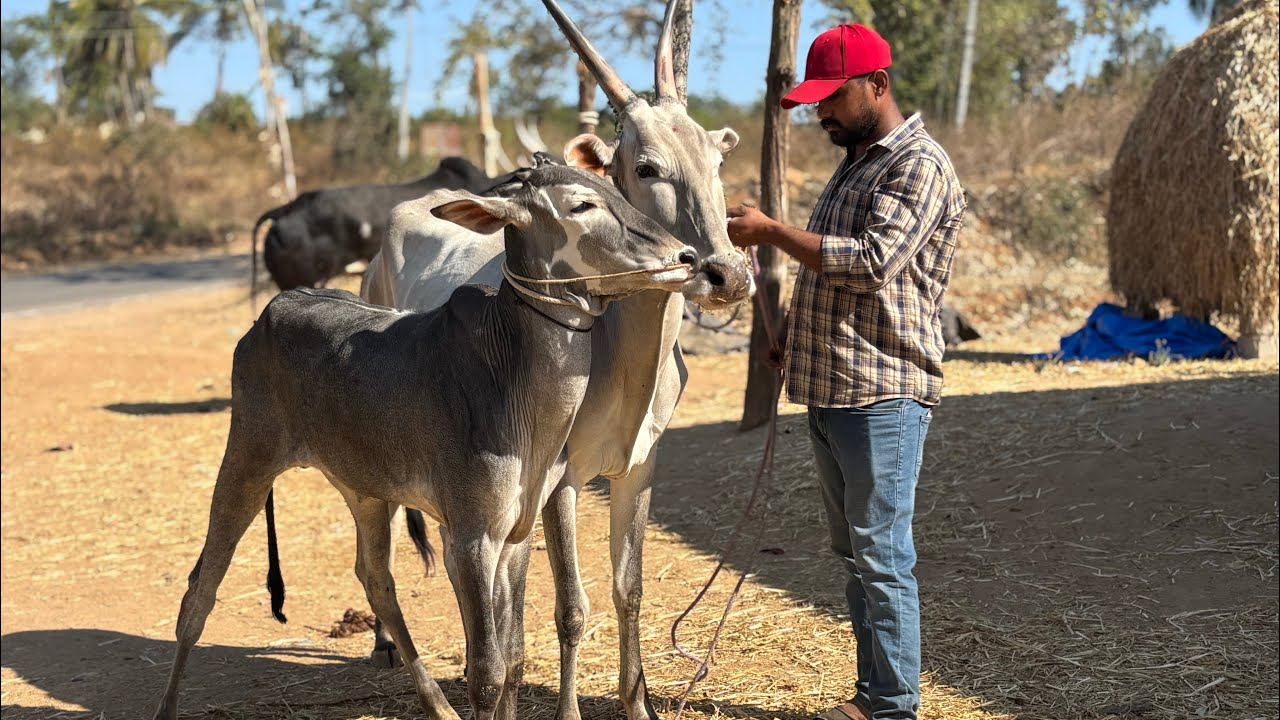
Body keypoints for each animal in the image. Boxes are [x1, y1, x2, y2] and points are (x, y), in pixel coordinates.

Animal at [152, 164, 710, 720]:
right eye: (581, 205)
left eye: (618, 190)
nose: (687, 258)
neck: (512, 371)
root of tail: (276, 306)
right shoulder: (472, 535)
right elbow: (486, 673)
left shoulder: (518, 531)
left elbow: (513, 658)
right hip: (247, 459)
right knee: (199, 591)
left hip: (364, 489)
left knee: (376, 578)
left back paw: (437, 704)